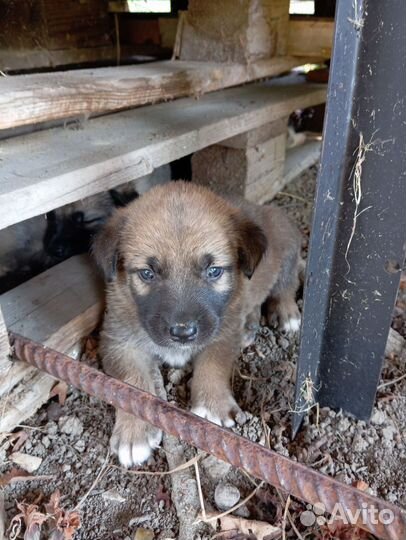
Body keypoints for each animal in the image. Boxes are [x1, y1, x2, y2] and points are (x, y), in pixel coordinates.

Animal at [93, 180, 302, 464]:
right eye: (147, 273)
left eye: (213, 271)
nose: (183, 333)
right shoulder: (119, 340)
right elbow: (130, 383)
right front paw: (135, 432)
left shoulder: (222, 330)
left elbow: (213, 364)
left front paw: (211, 405)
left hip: (286, 243)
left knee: (287, 284)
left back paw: (286, 312)